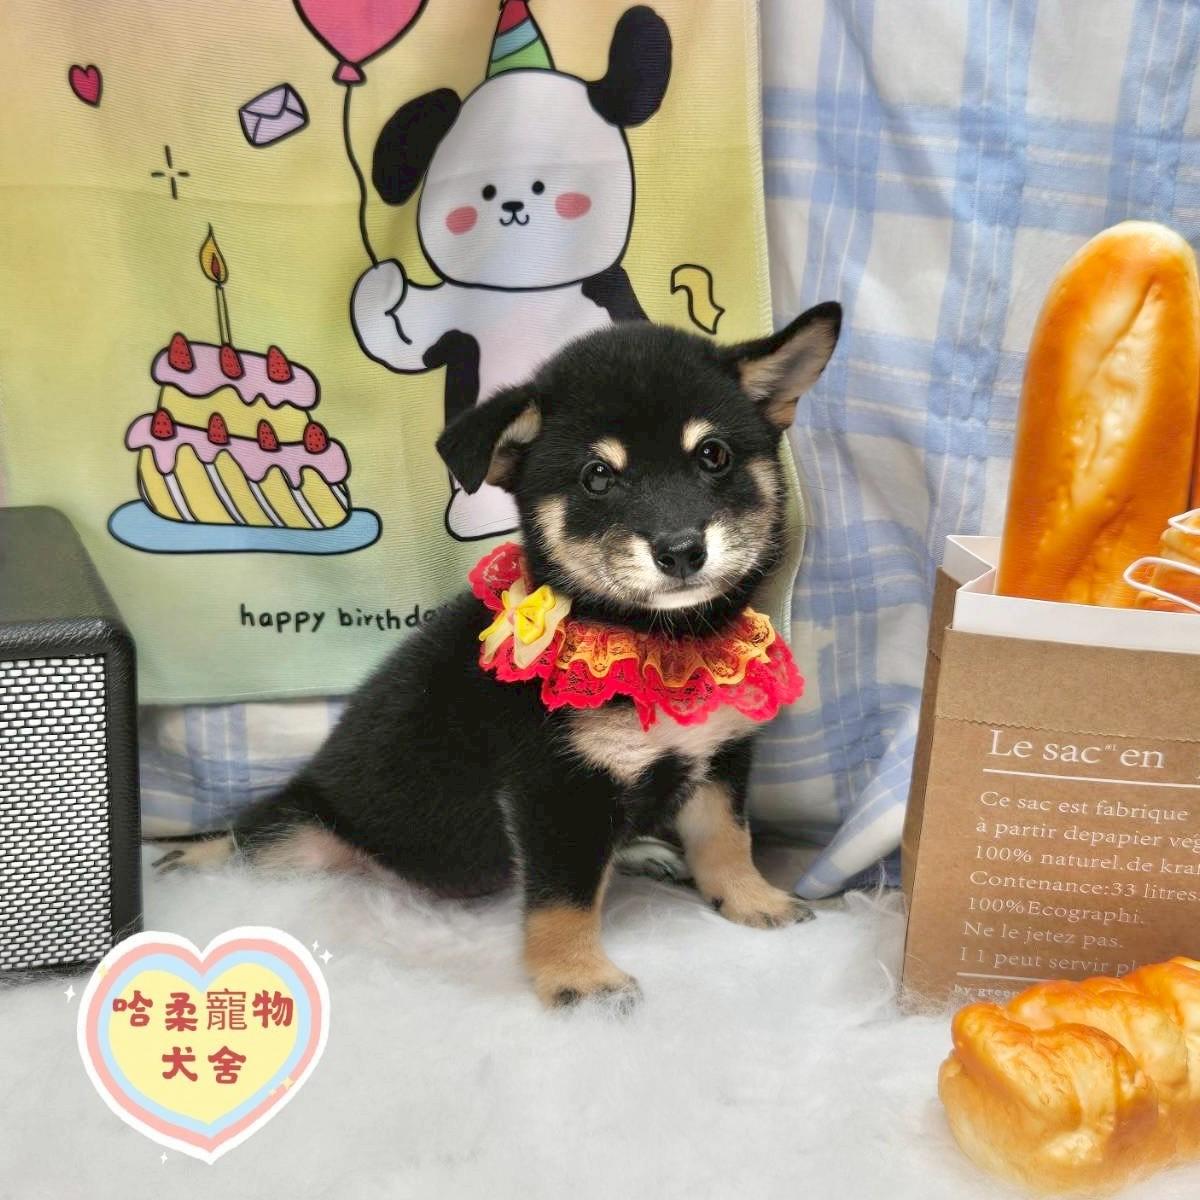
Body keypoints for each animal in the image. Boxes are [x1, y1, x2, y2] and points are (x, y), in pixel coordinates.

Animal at [161, 304, 841, 1008]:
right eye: (598, 476)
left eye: (713, 455)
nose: (681, 550)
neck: (661, 642)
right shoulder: (555, 788)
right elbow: (563, 898)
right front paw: (580, 978)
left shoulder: (719, 756)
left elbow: (727, 840)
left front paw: (752, 899)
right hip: (303, 837)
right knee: (250, 843)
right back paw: (198, 857)